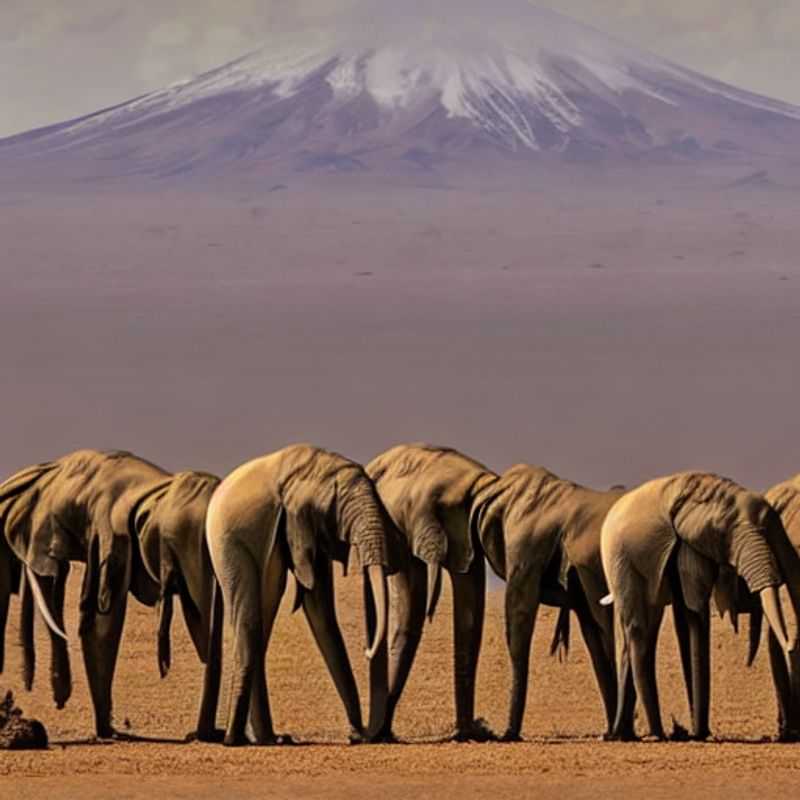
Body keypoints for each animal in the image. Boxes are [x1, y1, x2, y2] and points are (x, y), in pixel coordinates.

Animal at [205, 444, 401, 747]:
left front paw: (356, 733)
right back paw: (234, 740)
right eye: (342, 508)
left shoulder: (311, 531)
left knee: (260, 625)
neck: (318, 469)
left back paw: (270, 739)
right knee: (249, 624)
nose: (361, 735)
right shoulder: (297, 521)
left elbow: (321, 611)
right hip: (227, 543)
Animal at [365, 444, 499, 742]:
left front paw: (468, 734)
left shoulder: (468, 535)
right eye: (411, 504)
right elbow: (411, 609)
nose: (469, 732)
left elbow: (469, 622)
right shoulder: (404, 526)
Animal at [600, 471, 800, 741]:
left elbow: (690, 613)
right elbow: (695, 605)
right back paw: (653, 734)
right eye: (720, 533)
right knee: (638, 630)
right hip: (619, 559)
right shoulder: (689, 545)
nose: (792, 643)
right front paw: (700, 734)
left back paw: (630, 734)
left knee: (649, 628)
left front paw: (699, 733)